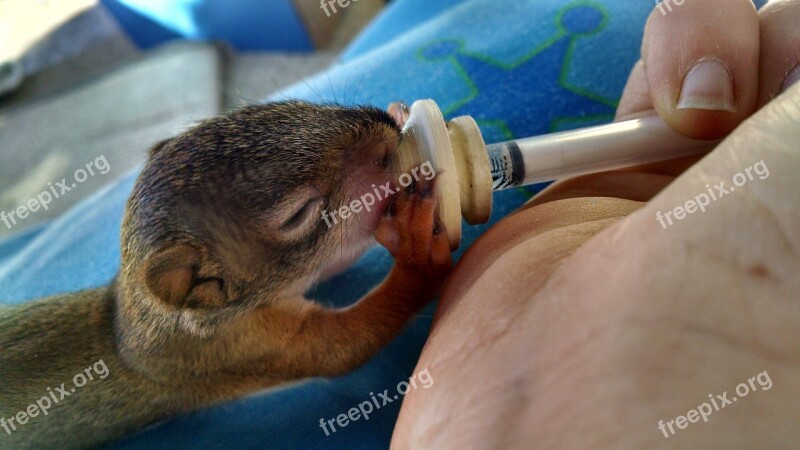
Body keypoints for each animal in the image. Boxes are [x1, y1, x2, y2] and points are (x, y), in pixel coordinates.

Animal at [0, 102, 450, 450]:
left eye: (284, 108)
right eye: (297, 215)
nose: (385, 126)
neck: (128, 319)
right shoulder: (244, 347)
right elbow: (344, 345)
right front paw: (416, 248)